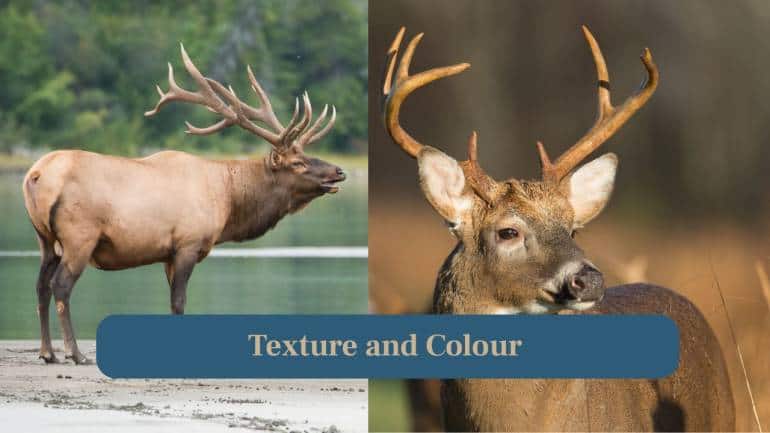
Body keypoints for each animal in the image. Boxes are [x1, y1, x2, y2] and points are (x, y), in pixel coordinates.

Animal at [22, 45, 345, 365]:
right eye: (298, 163)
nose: (339, 171)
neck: (226, 201)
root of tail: (35, 175)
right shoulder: (188, 243)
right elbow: (179, 302)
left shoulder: (167, 253)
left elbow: (172, 303)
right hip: (80, 236)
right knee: (61, 286)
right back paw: (74, 353)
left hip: (45, 239)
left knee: (40, 286)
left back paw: (47, 352)